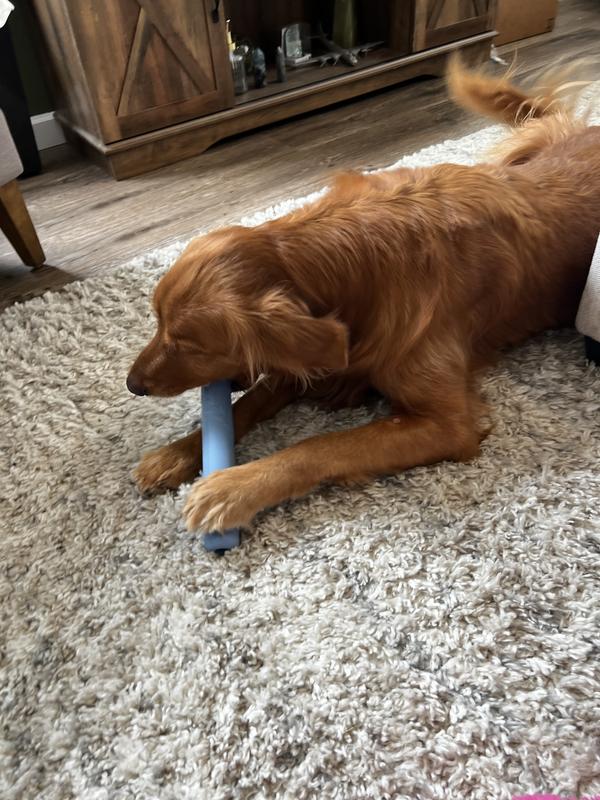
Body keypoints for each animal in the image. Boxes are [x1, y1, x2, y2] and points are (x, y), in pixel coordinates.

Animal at [127, 59, 600, 534]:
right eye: (157, 321)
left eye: (189, 345)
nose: (133, 386)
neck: (356, 262)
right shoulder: (325, 349)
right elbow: (252, 399)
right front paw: (177, 454)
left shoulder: (447, 424)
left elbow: (322, 445)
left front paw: (234, 487)